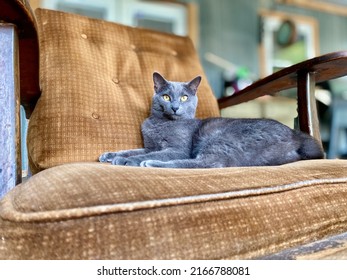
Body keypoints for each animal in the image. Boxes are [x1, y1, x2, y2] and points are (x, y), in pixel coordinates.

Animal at [99, 72, 324, 168]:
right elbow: (132, 149)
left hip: (221, 138)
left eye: (184, 97)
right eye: (166, 97)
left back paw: (152, 164)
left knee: (211, 163)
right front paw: (110, 155)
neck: (161, 123)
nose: (175, 107)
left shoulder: (177, 149)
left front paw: (128, 160)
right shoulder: (149, 145)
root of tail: (296, 135)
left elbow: (145, 154)